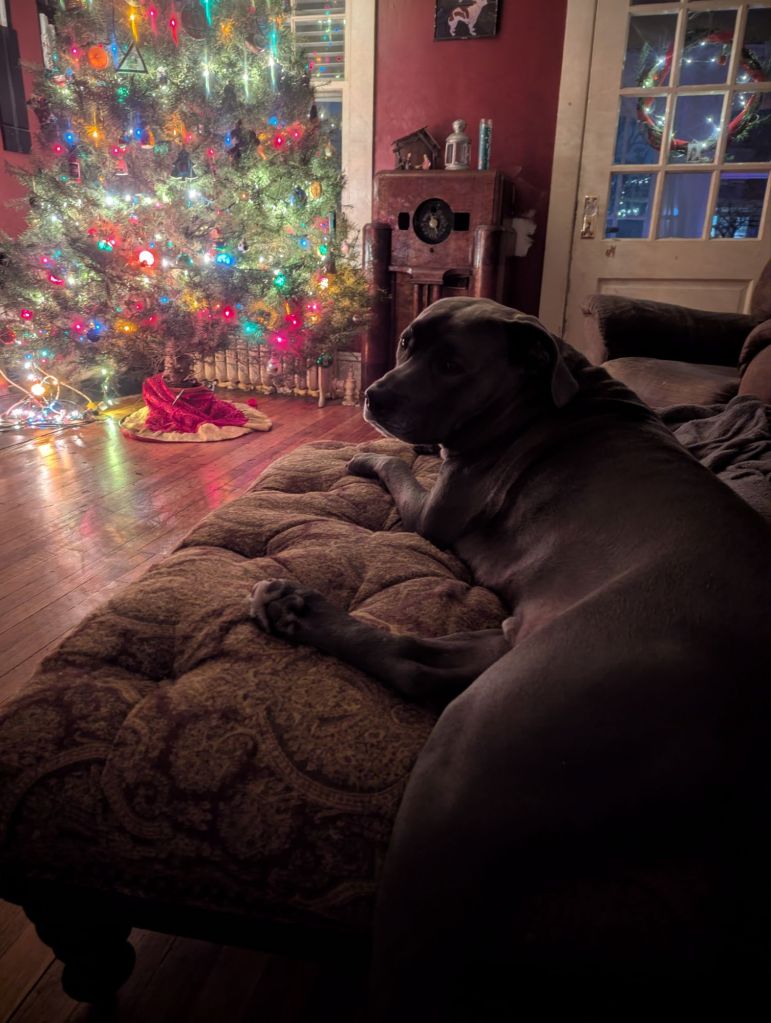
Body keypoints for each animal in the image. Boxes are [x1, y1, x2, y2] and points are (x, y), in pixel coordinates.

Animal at [250, 298, 771, 1018]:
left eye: (451, 364)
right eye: (407, 343)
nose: (375, 395)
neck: (545, 401)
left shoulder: (433, 512)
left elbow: (400, 466)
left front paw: (363, 457)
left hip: (484, 737)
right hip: (509, 643)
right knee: (411, 656)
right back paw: (294, 607)